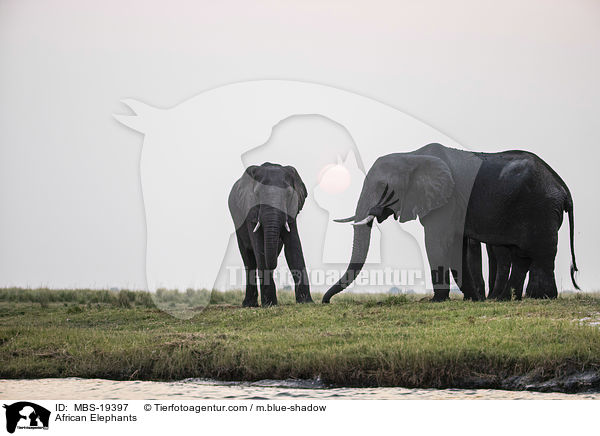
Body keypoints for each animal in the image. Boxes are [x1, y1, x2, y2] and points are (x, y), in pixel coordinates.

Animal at [229, 164, 314, 306]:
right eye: (257, 194)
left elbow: (293, 247)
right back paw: (249, 304)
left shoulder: (292, 211)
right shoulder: (250, 211)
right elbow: (259, 247)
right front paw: (269, 304)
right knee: (249, 259)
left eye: (289, 194)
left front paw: (306, 302)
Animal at [324, 143, 580, 304]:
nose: (327, 302)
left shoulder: (445, 201)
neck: (411, 155)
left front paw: (436, 301)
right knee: (523, 256)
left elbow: (436, 242)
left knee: (541, 252)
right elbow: (459, 245)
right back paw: (507, 298)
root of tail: (562, 186)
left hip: (540, 208)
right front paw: (473, 299)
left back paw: (541, 297)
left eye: (383, 188)